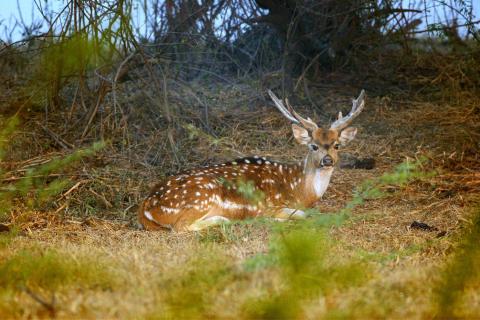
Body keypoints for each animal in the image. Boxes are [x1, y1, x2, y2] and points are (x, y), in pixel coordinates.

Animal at [137, 89, 366, 231]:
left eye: (337, 145)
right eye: (314, 145)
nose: (327, 160)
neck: (300, 190)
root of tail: (147, 203)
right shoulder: (271, 205)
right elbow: (303, 215)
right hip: (200, 198)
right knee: (179, 227)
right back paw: (224, 219)